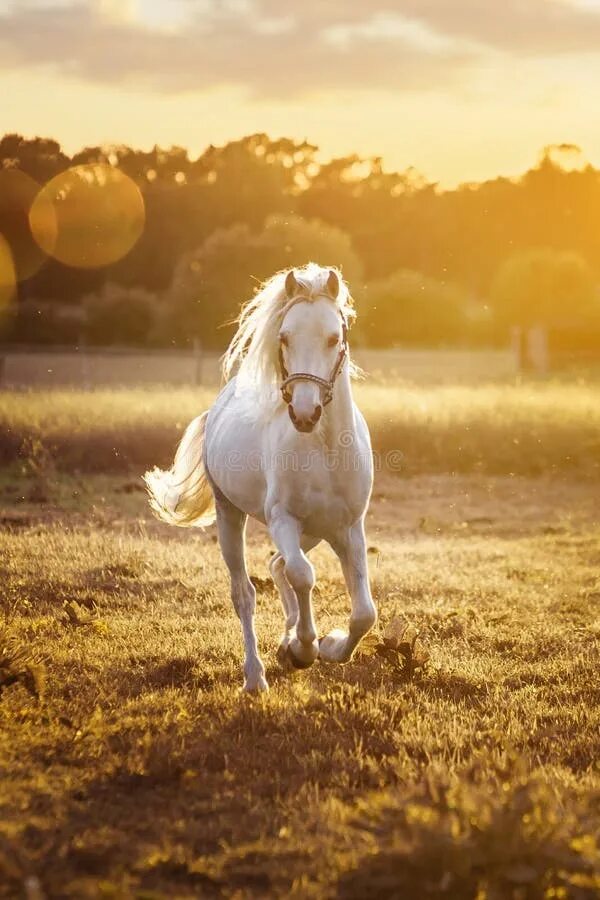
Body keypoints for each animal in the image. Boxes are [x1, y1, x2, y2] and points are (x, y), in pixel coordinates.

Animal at [144, 264, 376, 692]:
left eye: (333, 338)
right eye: (284, 337)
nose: (305, 413)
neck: (324, 450)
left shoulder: (349, 528)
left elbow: (364, 613)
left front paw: (329, 645)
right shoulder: (283, 519)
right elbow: (304, 575)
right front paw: (303, 649)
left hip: (314, 532)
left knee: (276, 565)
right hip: (231, 516)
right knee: (246, 592)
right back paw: (255, 676)